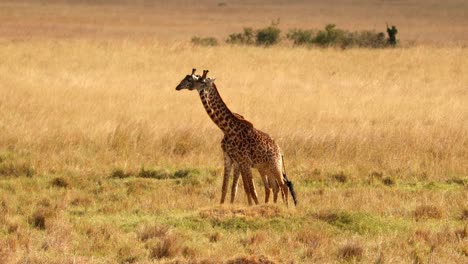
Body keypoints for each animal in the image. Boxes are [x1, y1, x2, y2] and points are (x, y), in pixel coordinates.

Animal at [176, 69, 296, 205]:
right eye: (189, 78)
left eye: (199, 80)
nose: (178, 87)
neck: (228, 129)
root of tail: (280, 151)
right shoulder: (231, 159)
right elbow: (230, 187)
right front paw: (224, 205)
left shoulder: (244, 161)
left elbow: (250, 189)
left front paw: (253, 206)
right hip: (266, 168)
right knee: (275, 187)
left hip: (275, 166)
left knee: (283, 186)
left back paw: (284, 207)